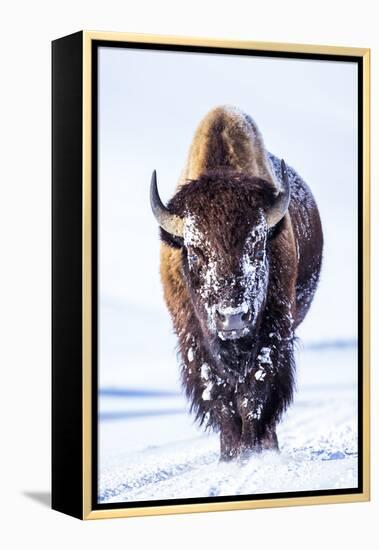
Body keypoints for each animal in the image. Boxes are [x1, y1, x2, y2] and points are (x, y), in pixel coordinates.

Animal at [150, 104, 322, 462]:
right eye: (195, 251)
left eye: (257, 246)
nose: (232, 318)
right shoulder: (194, 342)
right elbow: (220, 399)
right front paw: (231, 455)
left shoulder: (273, 334)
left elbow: (254, 394)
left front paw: (252, 452)